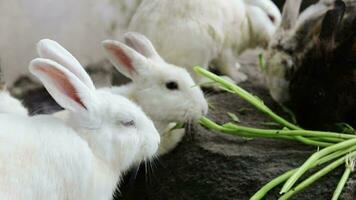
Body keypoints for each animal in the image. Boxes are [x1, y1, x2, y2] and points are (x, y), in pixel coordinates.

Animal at [127, 0, 280, 85]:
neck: (246, 18)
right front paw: (240, 77)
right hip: (200, 52)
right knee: (197, 81)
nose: (276, 42)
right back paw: (223, 83)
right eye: (271, 17)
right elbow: (228, 65)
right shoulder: (227, 49)